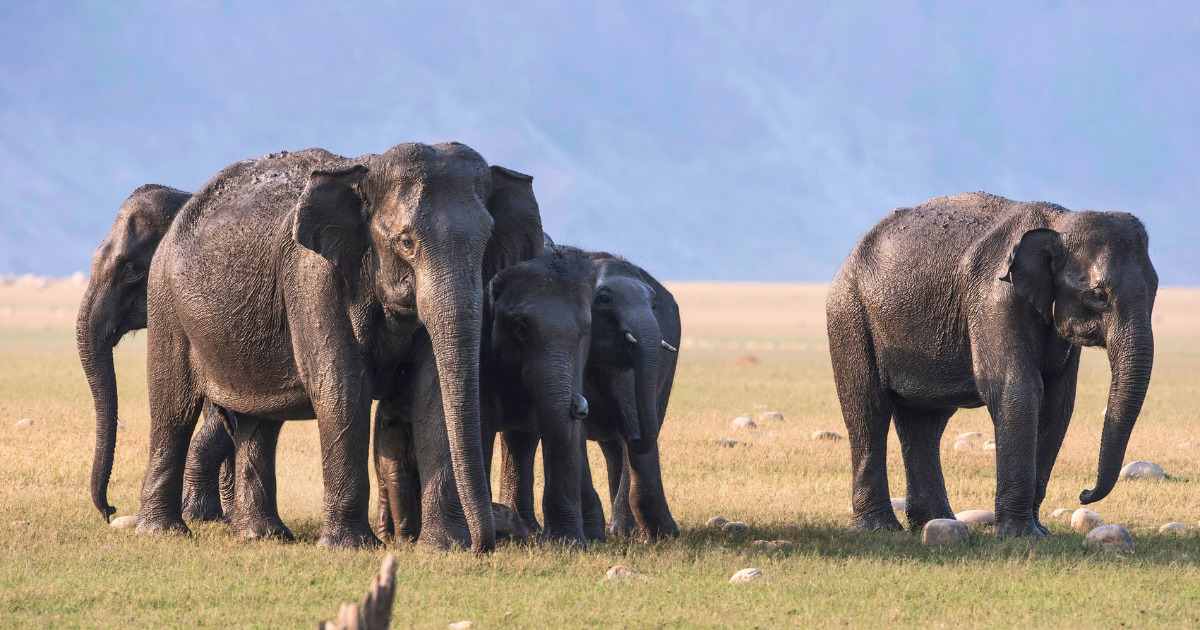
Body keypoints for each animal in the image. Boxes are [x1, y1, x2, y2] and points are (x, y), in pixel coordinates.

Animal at [138, 143, 542, 550]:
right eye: (406, 242)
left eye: (487, 241)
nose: (483, 545)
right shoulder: (312, 277)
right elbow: (341, 388)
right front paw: (350, 546)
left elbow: (432, 393)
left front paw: (444, 547)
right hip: (165, 300)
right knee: (173, 408)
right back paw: (162, 531)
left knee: (260, 420)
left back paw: (263, 535)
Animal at [496, 249, 681, 542]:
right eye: (603, 300)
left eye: (654, 305)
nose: (636, 436)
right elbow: (576, 432)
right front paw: (594, 535)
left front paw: (663, 537)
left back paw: (623, 530)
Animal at [827, 192, 1157, 537]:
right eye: (1098, 295)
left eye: (1156, 290)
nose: (1084, 493)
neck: (1059, 222)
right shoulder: (995, 298)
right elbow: (1018, 390)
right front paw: (1020, 536)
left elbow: (1057, 403)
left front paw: (1039, 532)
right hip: (849, 315)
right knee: (869, 409)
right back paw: (880, 529)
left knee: (925, 421)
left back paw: (935, 522)